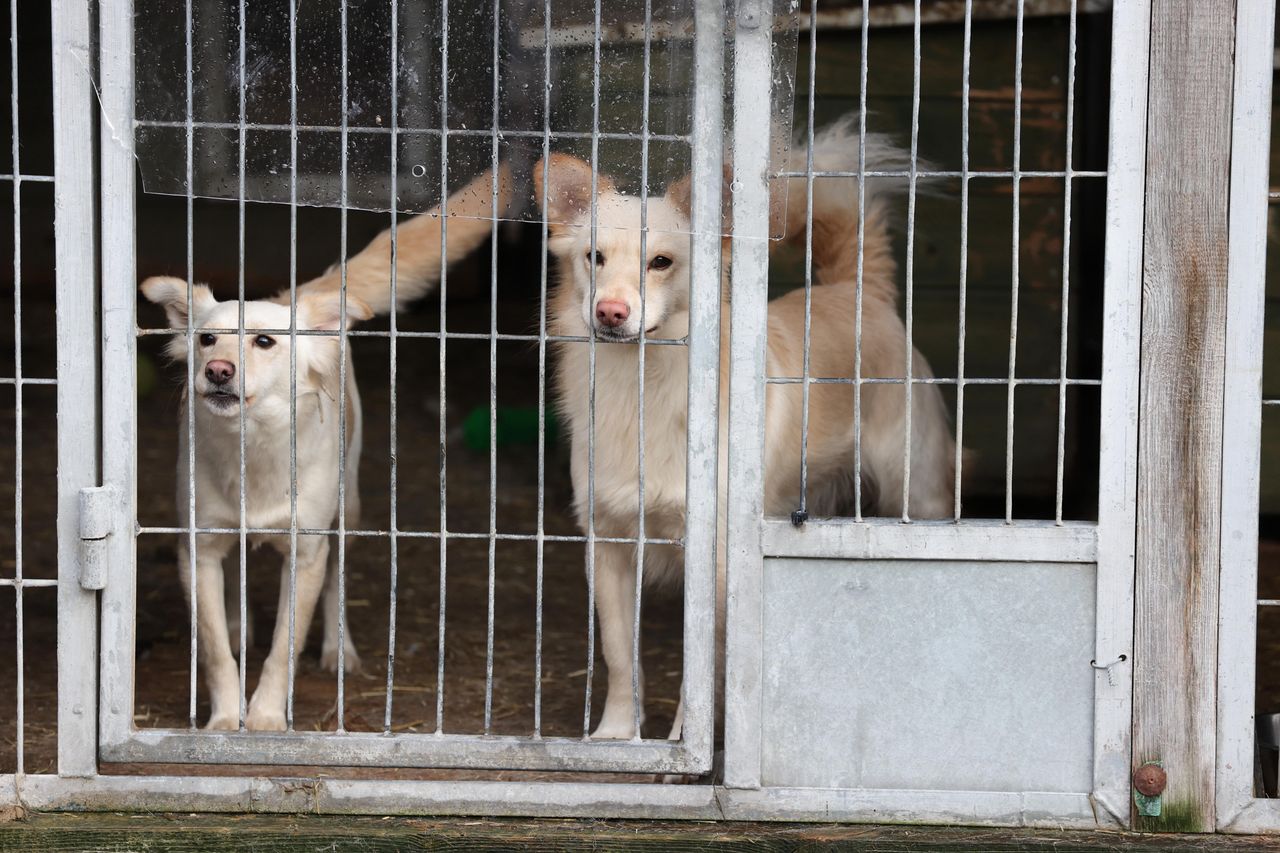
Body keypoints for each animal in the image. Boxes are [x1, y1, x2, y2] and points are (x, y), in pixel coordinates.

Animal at [142, 167, 512, 732]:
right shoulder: (198, 550)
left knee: (338, 580)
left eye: (265, 343)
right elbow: (216, 650)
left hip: (348, 508)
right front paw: (226, 718)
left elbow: (283, 648)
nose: (217, 372)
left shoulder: (306, 553)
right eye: (206, 340)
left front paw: (266, 718)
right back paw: (240, 625)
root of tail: (299, 292)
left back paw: (340, 650)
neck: (255, 445)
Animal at [532, 116, 962, 742]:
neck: (642, 384)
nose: (611, 313)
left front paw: (686, 740)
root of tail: (859, 292)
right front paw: (617, 735)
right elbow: (618, 652)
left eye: (661, 262)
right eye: (595, 257)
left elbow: (704, 666)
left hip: (916, 491)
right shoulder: (608, 544)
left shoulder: (714, 559)